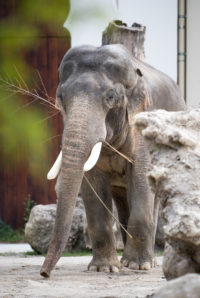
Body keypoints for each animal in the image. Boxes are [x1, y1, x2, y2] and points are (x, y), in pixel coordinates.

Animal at [40, 42, 186, 278]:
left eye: (110, 97)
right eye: (61, 98)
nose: (44, 274)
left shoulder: (143, 124)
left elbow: (141, 177)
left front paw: (138, 267)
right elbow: (93, 185)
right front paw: (103, 268)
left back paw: (146, 263)